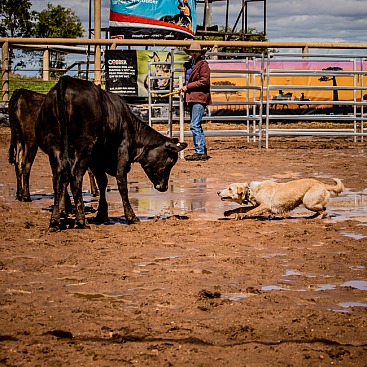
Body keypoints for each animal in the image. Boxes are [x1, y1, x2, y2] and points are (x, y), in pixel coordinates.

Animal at [35, 76, 187, 231]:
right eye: (170, 161)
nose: (164, 187)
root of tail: (67, 80)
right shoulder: (122, 153)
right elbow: (121, 183)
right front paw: (131, 216)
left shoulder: (96, 159)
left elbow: (102, 182)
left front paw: (102, 214)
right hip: (84, 147)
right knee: (76, 177)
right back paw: (81, 220)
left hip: (55, 146)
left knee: (58, 179)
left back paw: (55, 221)